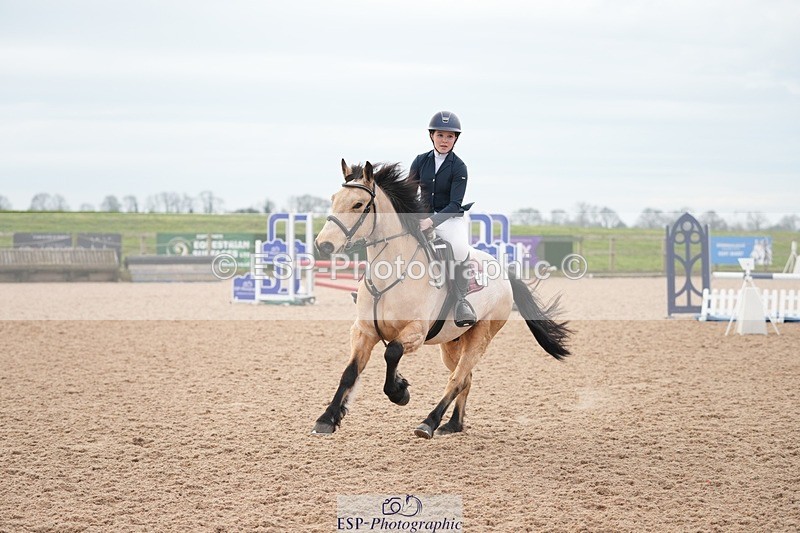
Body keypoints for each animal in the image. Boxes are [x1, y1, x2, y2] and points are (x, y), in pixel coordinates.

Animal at [311, 160, 570, 439]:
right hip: (452, 343)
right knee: (466, 377)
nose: (323, 245)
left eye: (358, 204)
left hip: (481, 336)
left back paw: (429, 422)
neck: (389, 277)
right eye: (334, 199)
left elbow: (392, 352)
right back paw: (453, 424)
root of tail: (503, 272)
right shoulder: (364, 330)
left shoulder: (416, 331)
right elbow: (349, 373)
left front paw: (399, 391)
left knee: (457, 379)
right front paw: (327, 419)